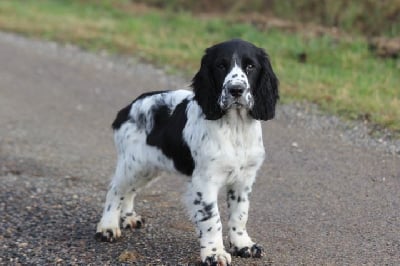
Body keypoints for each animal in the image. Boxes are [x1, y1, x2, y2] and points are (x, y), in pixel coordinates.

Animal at [95, 38, 280, 264]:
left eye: (251, 66)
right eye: (221, 65)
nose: (236, 89)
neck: (235, 127)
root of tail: (127, 108)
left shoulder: (244, 179)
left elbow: (240, 214)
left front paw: (243, 245)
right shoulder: (205, 181)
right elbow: (213, 220)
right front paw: (214, 254)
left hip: (148, 167)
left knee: (130, 191)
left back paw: (129, 218)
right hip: (133, 163)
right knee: (116, 189)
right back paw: (108, 227)